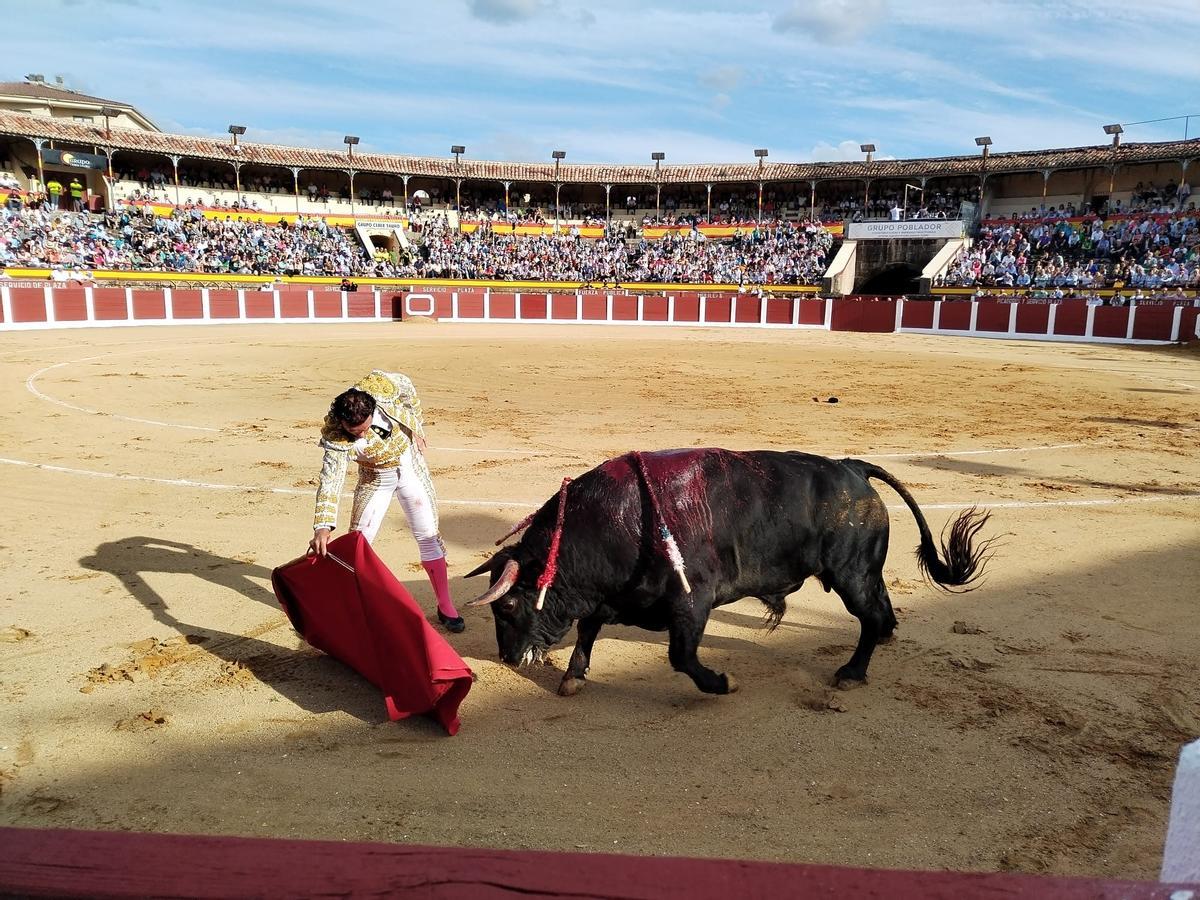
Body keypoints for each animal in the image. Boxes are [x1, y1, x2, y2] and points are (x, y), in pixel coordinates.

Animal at [463, 451, 988, 696]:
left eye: (508, 604)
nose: (507, 658)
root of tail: (850, 467)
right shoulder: (608, 596)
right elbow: (588, 630)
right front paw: (573, 678)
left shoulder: (691, 603)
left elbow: (681, 657)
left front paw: (722, 683)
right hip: (862, 573)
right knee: (880, 608)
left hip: (851, 574)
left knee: (868, 615)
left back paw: (852, 673)